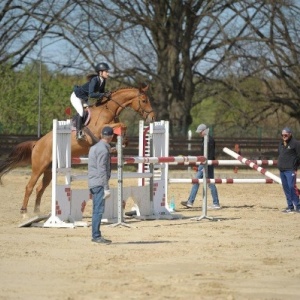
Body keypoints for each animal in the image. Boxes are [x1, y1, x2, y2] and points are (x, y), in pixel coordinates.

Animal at [0, 84, 155, 213]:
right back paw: (24, 212)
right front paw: (117, 145)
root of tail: (37, 143)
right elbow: (122, 125)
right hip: (38, 167)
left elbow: (122, 130)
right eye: (144, 100)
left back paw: (36, 212)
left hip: (49, 170)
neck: (109, 109)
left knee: (40, 188)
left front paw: (119, 145)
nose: (152, 118)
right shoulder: (98, 130)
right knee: (30, 187)